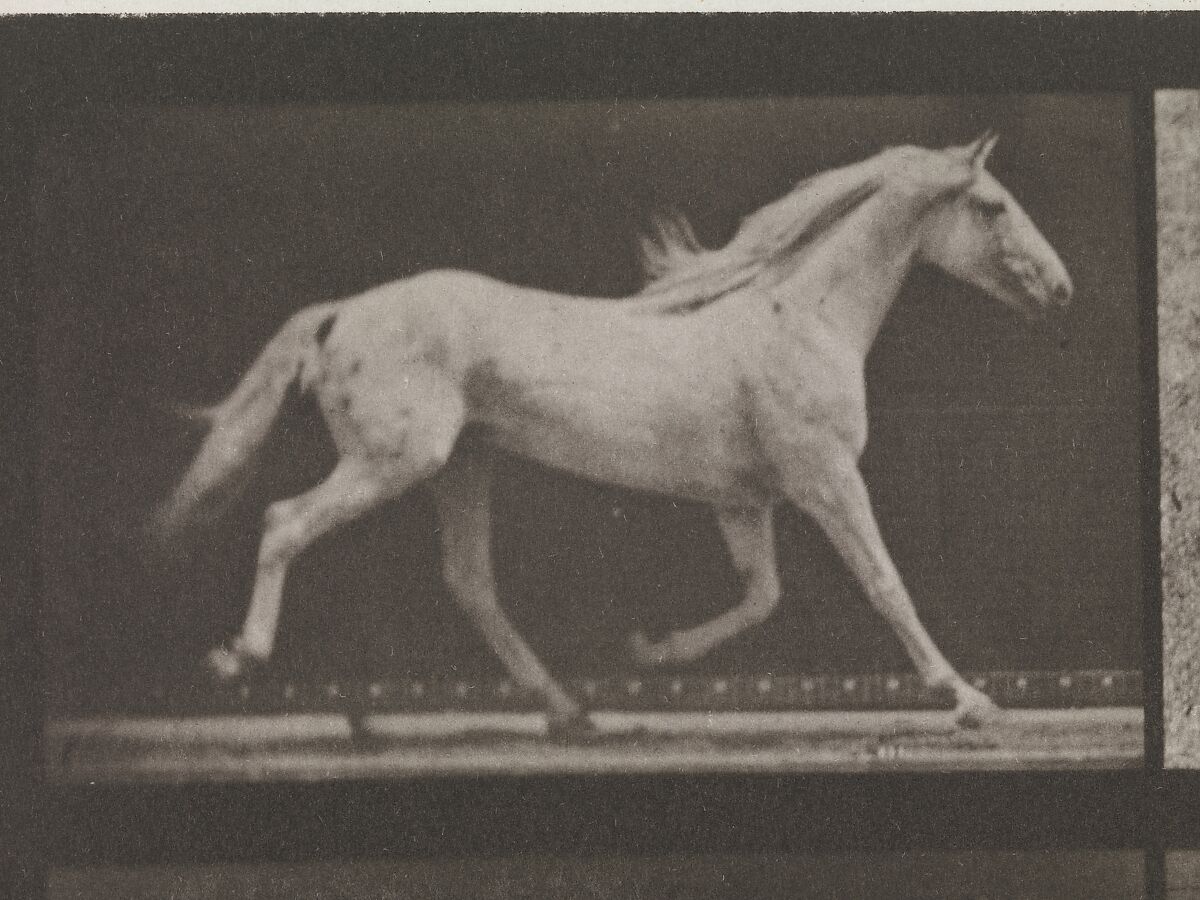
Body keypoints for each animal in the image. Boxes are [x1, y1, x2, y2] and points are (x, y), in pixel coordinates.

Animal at [154, 133, 1073, 737]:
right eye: (991, 205)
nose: (1061, 290)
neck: (799, 319)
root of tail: (343, 312)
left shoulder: (746, 503)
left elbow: (761, 597)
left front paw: (647, 650)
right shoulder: (827, 480)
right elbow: (885, 585)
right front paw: (970, 700)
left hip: (461, 467)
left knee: (471, 583)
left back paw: (571, 711)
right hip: (395, 460)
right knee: (284, 522)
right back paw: (237, 658)